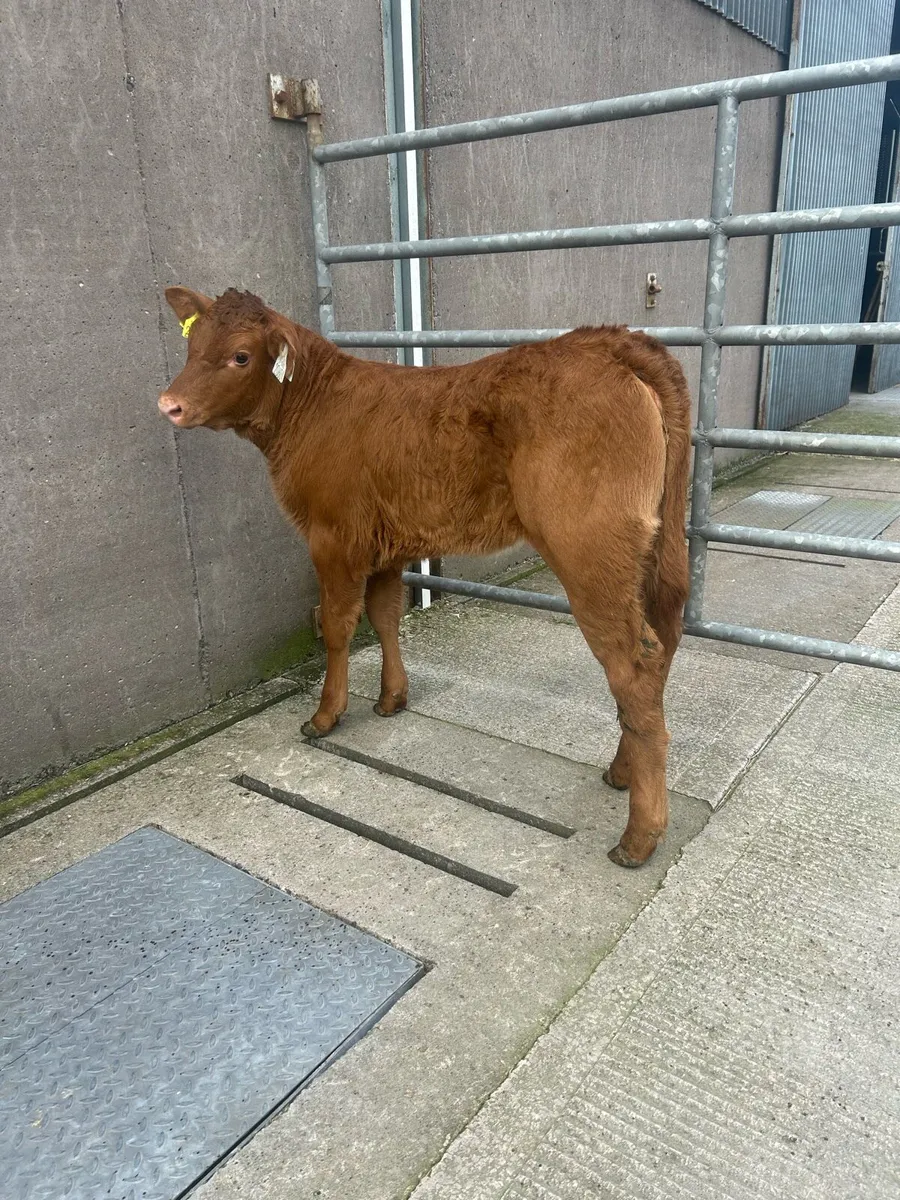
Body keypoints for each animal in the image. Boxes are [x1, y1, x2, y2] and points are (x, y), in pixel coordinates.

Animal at [159, 287, 691, 867]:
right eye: (191, 343)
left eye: (240, 355)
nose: (169, 404)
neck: (310, 407)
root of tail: (610, 341)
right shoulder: (384, 545)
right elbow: (385, 616)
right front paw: (392, 699)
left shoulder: (333, 538)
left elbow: (339, 627)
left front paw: (326, 716)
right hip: (654, 549)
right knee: (663, 641)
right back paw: (622, 772)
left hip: (589, 551)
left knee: (634, 663)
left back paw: (639, 835)